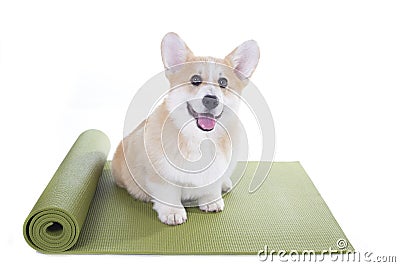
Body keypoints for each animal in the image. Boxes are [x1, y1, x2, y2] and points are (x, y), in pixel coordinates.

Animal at [111, 31, 260, 226]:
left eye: (223, 82)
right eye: (195, 80)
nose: (211, 100)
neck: (200, 138)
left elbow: (211, 186)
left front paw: (211, 201)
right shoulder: (160, 174)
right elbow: (168, 192)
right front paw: (173, 212)